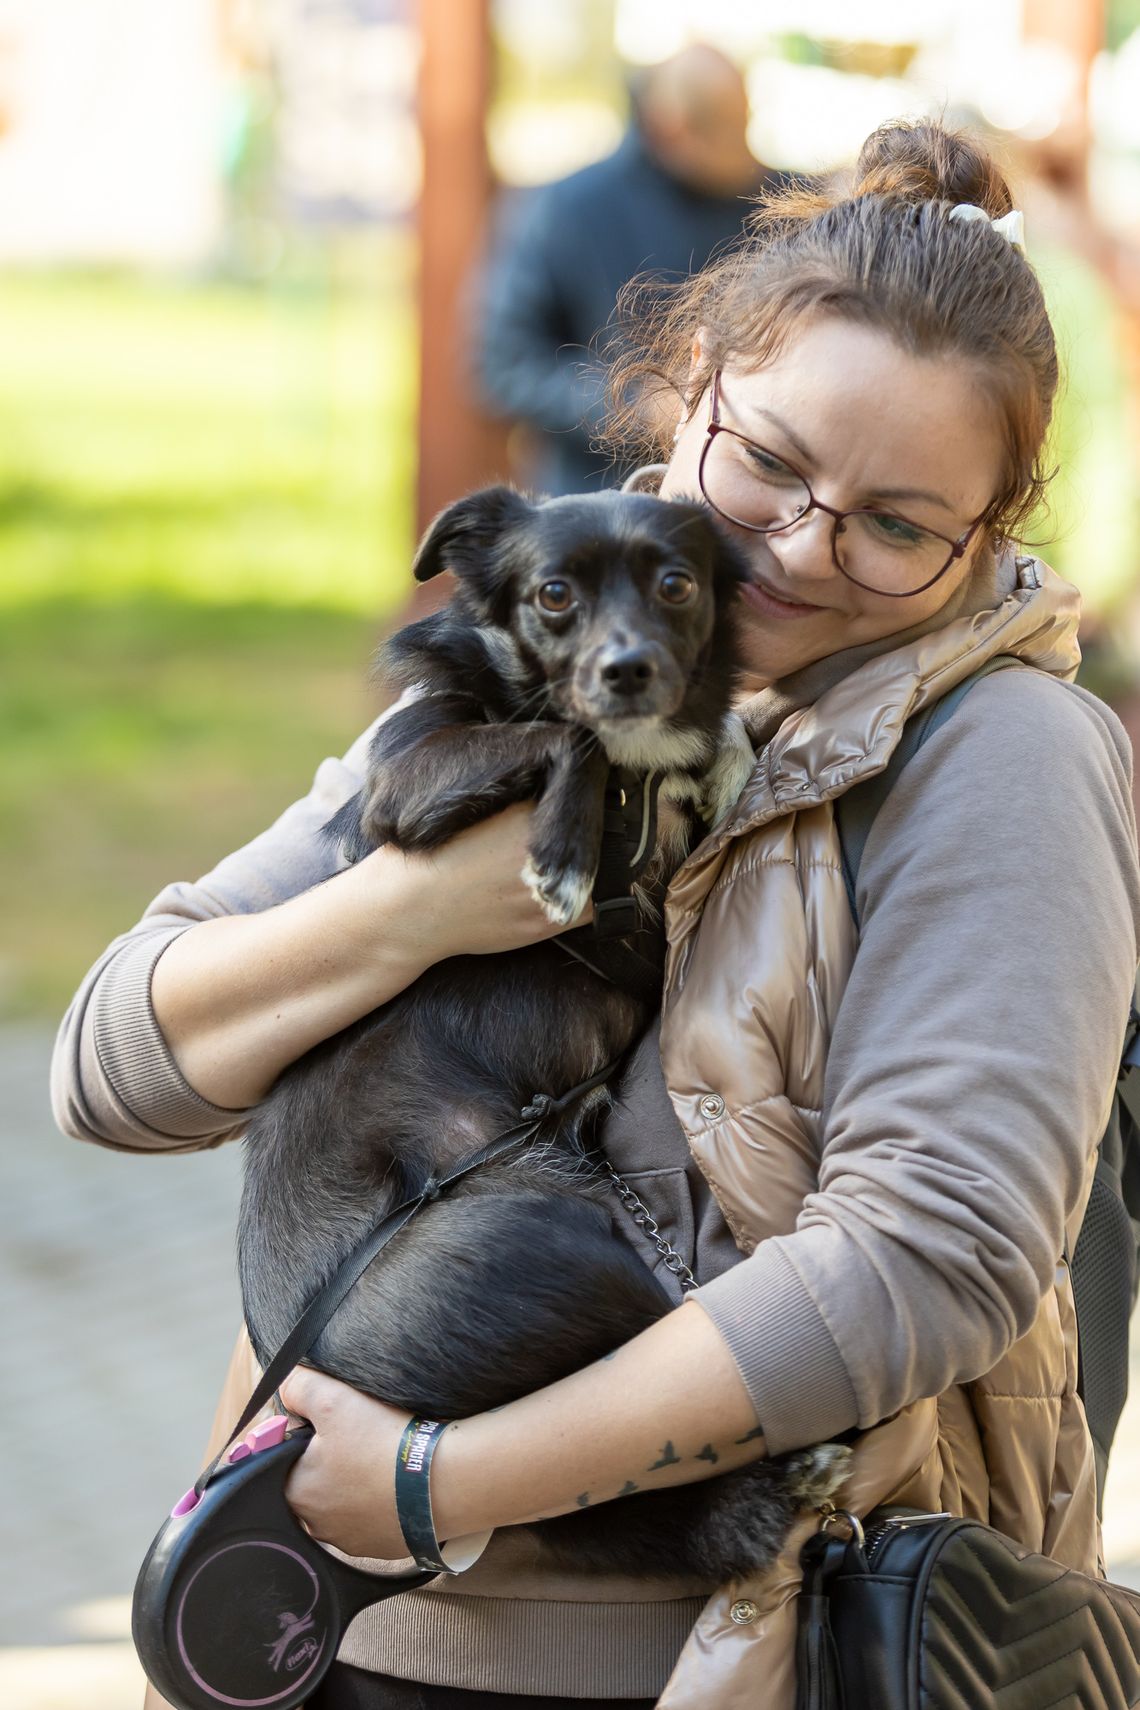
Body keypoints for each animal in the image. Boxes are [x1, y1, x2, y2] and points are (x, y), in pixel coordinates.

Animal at [239, 489, 847, 1580]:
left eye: (676, 583)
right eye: (553, 594)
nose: (627, 670)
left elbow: (701, 743)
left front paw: (720, 759)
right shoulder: (407, 782)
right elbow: (570, 737)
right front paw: (564, 847)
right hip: (558, 1249)